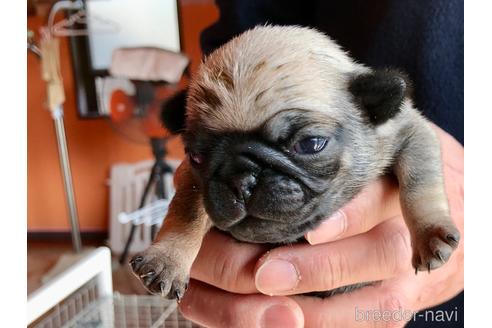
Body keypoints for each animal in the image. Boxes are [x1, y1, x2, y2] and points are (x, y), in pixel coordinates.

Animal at [129, 26, 460, 300]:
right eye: (197, 157)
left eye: (310, 144)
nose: (240, 179)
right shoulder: (194, 182)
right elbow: (186, 212)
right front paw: (167, 258)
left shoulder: (412, 132)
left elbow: (420, 184)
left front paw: (430, 232)